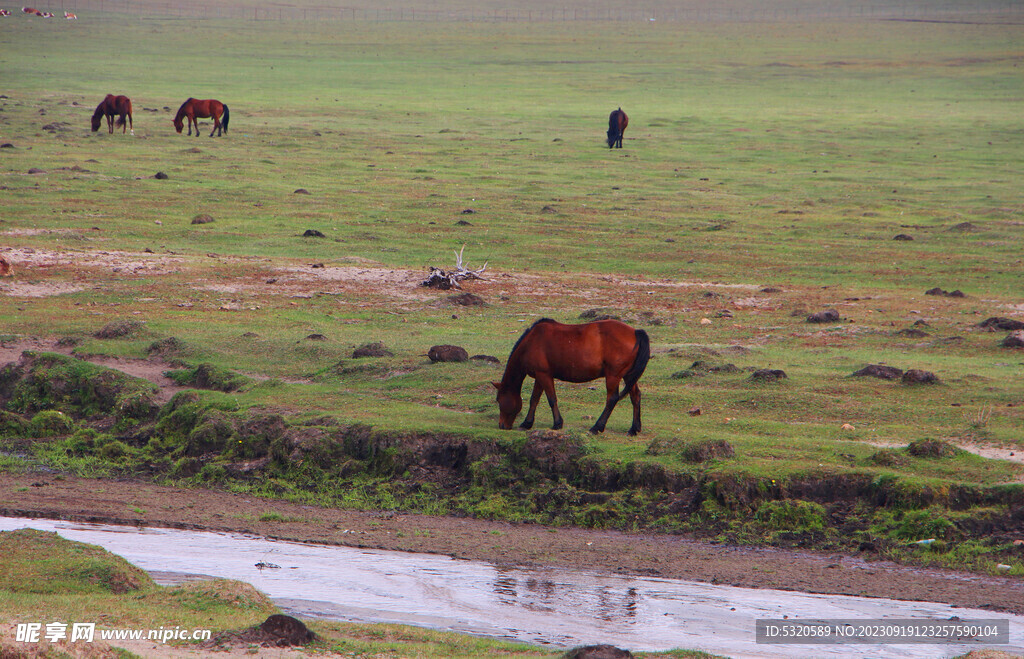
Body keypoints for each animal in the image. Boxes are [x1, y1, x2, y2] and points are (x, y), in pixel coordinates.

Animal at [493, 321, 651, 437]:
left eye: (499, 400)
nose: (501, 425)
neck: (531, 342)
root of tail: (635, 332)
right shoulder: (540, 376)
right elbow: (534, 399)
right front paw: (527, 423)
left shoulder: (544, 374)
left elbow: (551, 399)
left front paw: (557, 423)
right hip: (628, 376)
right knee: (635, 396)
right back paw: (634, 429)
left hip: (614, 376)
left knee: (612, 399)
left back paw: (596, 427)